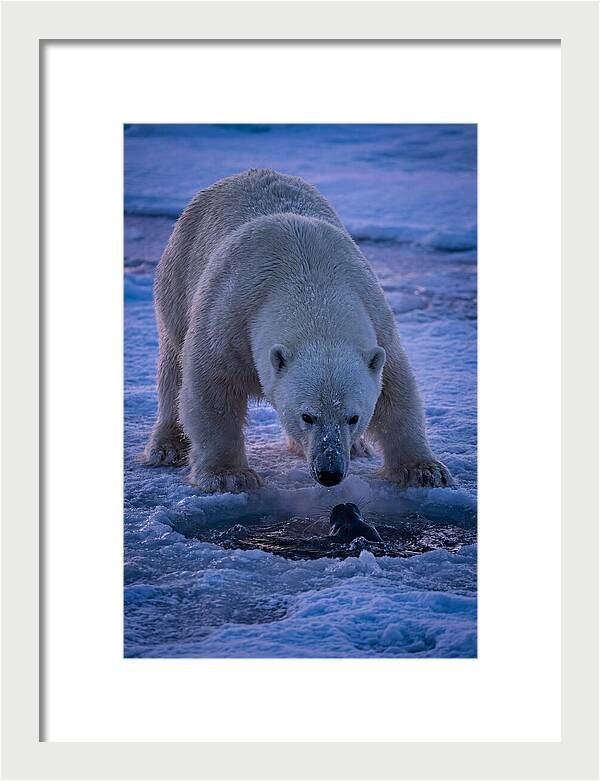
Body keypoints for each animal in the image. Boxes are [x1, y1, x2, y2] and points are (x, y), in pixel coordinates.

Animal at [143, 169, 452, 493]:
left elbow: (396, 390)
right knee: (173, 364)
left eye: (353, 417)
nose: (330, 472)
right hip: (179, 274)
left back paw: (357, 448)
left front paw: (425, 470)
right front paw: (229, 475)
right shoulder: (229, 316)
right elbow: (212, 389)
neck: (310, 278)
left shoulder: (377, 320)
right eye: (308, 416)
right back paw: (167, 447)